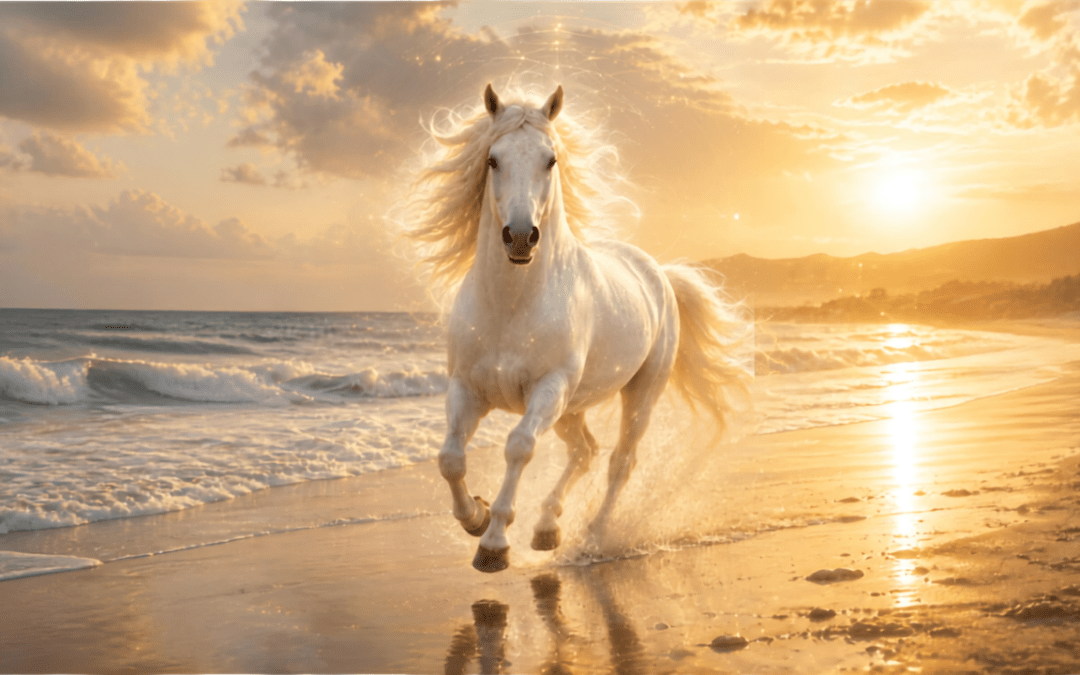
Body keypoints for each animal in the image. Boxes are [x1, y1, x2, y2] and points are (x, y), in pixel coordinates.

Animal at [407, 83, 750, 573]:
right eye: (493, 159)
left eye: (551, 160)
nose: (520, 237)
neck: (512, 305)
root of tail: (659, 273)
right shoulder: (466, 388)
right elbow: (450, 458)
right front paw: (476, 516)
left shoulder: (548, 389)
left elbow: (519, 446)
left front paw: (494, 543)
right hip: (572, 407)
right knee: (584, 451)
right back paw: (547, 528)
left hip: (637, 394)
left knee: (620, 461)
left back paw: (592, 537)